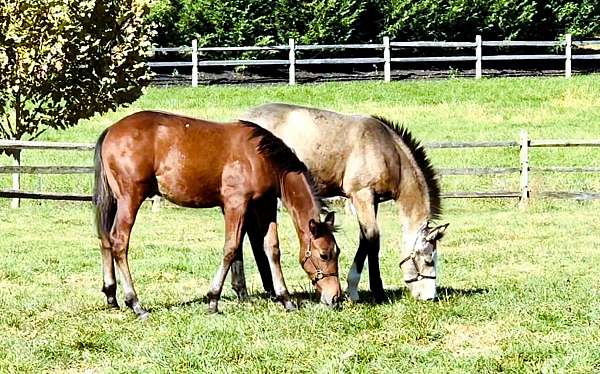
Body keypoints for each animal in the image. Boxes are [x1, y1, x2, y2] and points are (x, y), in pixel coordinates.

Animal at [96, 109, 344, 318]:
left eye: (338, 252)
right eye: (324, 255)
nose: (336, 298)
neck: (261, 157)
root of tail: (111, 130)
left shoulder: (264, 205)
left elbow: (271, 249)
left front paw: (285, 299)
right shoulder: (236, 204)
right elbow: (231, 248)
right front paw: (213, 299)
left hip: (116, 201)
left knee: (105, 239)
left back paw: (111, 295)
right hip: (130, 199)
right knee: (119, 242)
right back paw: (135, 303)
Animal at [240, 103, 450, 302]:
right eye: (429, 260)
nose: (430, 296)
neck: (386, 152)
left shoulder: (372, 201)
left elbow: (364, 239)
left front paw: (353, 290)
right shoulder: (362, 195)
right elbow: (373, 240)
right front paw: (377, 292)